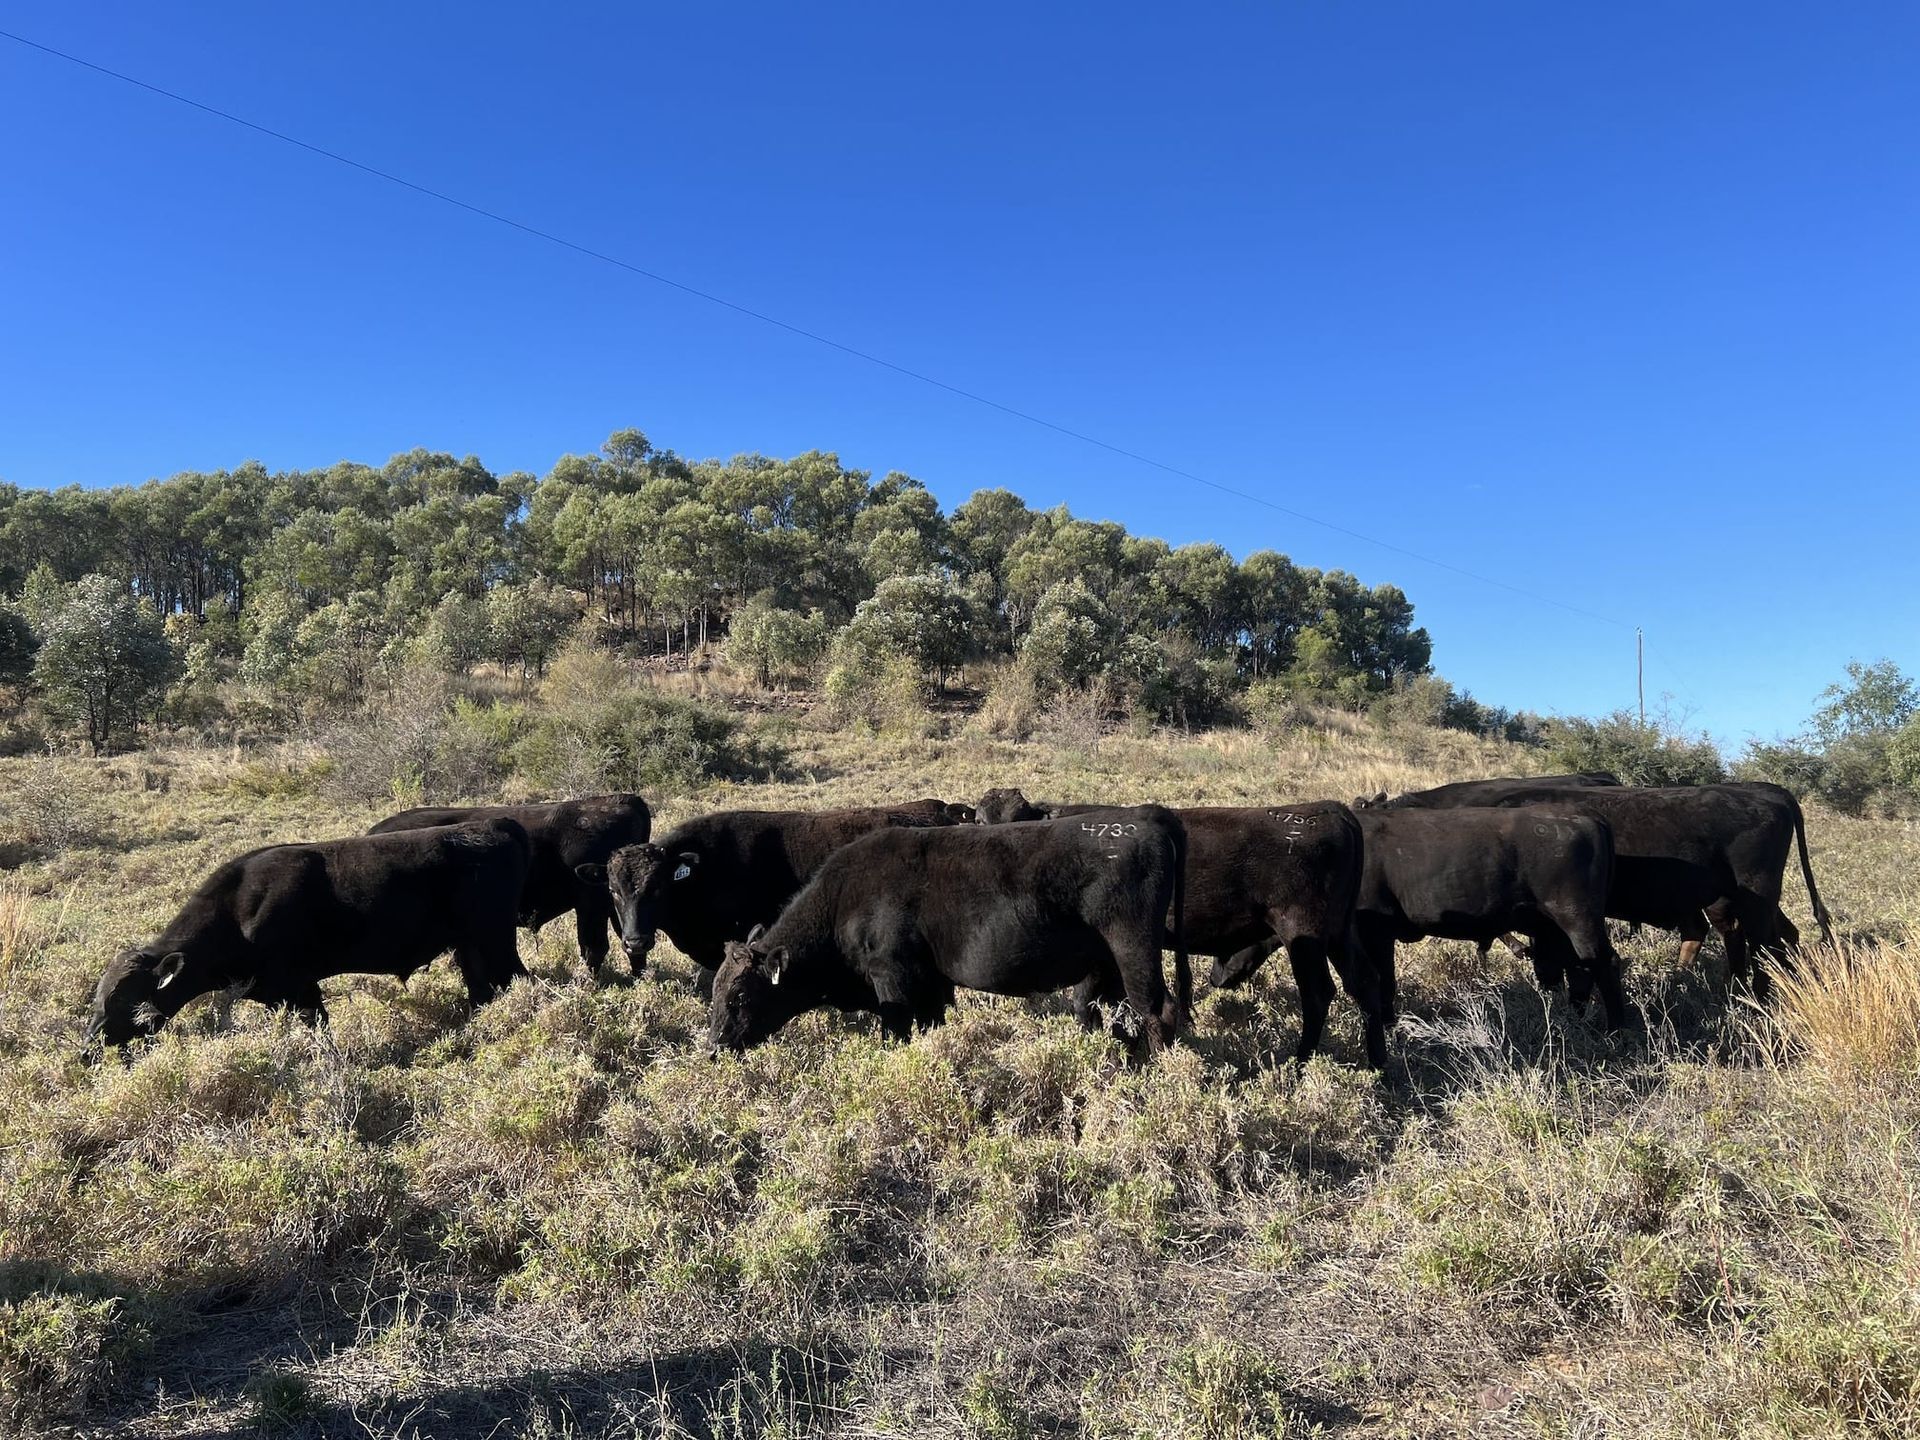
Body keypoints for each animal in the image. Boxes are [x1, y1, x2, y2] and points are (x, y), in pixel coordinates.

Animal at [86, 819, 531, 1049]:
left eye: (125, 999)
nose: (90, 1045)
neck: (237, 909)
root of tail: (492, 823)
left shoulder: (298, 986)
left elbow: (318, 1027)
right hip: (470, 945)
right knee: (482, 989)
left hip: (496, 939)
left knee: (517, 980)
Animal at [708, 806, 1191, 1056]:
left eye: (739, 996)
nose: (713, 1048)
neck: (844, 900)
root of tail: (1145, 817)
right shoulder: (932, 986)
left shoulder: (893, 980)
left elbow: (897, 1035)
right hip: (1100, 963)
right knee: (1097, 1010)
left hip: (1134, 950)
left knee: (1158, 1010)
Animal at [975, 791, 1387, 1068]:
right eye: (979, 818)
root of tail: (1331, 810)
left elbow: (1086, 1001)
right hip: (1339, 934)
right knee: (1366, 985)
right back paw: (1379, 1068)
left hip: (1304, 935)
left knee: (1318, 995)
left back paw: (1297, 1066)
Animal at [1216, 806, 1628, 1030]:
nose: (1214, 978)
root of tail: (1584, 817)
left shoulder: (1375, 932)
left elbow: (1384, 982)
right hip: (1555, 927)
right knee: (1578, 970)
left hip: (1578, 919)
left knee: (1605, 964)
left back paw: (1616, 1030)